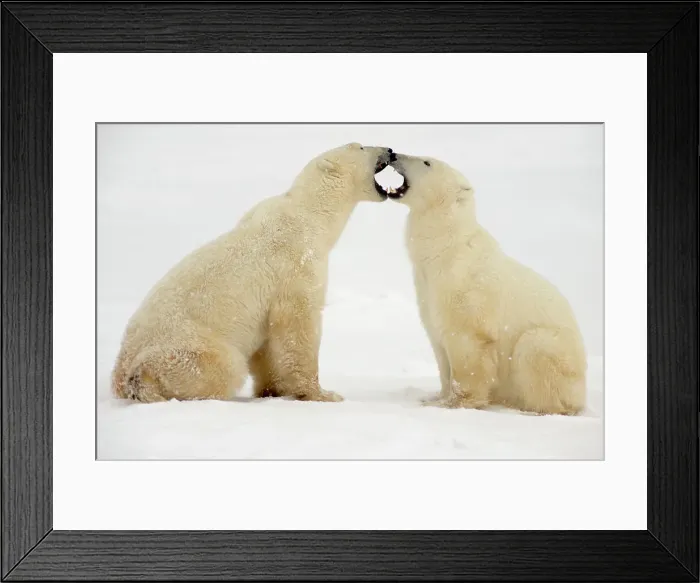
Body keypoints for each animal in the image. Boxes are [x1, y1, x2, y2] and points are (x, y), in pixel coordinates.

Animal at [111, 142, 394, 404]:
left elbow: (267, 340)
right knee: (224, 367)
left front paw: (273, 390)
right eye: (360, 146)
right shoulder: (297, 262)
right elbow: (298, 324)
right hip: (187, 350)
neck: (309, 215)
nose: (390, 150)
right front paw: (322, 394)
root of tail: (121, 378)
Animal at [385, 152, 587, 415]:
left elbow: (468, 344)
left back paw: (535, 408)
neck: (444, 247)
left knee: (534, 348)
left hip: (557, 352)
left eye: (427, 162)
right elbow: (439, 345)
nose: (393, 154)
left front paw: (455, 403)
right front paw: (434, 397)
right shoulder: (428, 290)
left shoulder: (465, 290)